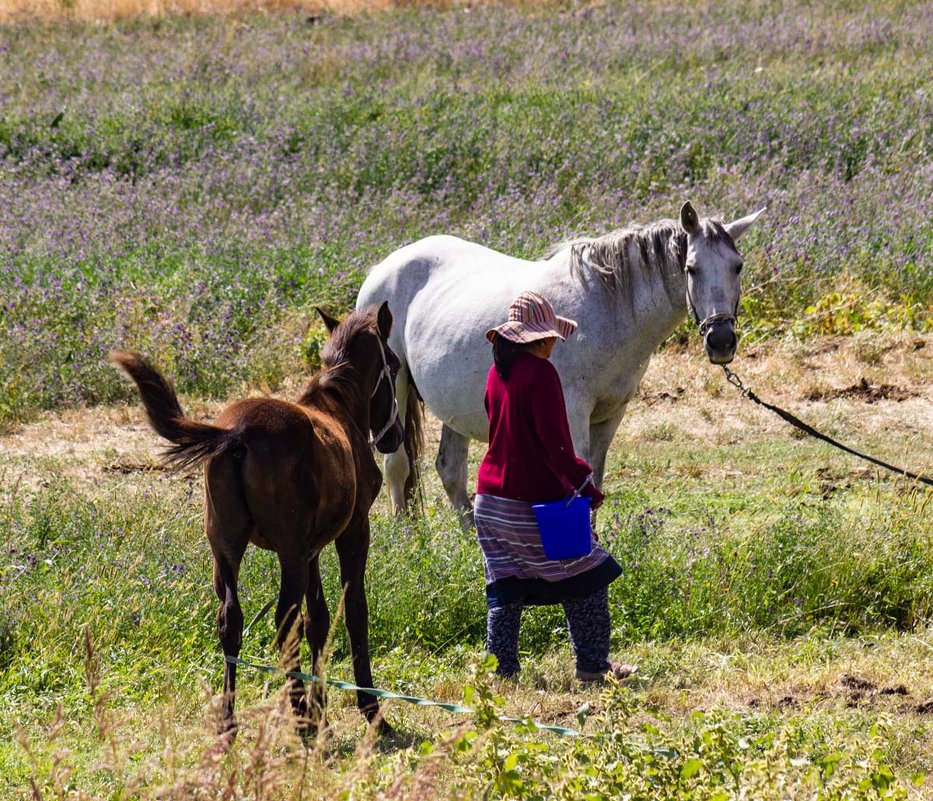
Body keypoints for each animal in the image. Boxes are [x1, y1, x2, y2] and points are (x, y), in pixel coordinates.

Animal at [109, 304, 400, 740]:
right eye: (395, 366)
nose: (393, 438)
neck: (338, 408)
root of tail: (235, 433)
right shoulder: (351, 532)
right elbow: (352, 611)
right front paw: (368, 708)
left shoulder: (312, 547)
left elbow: (318, 619)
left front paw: (323, 710)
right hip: (288, 553)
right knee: (282, 619)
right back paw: (300, 716)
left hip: (225, 548)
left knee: (231, 620)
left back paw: (231, 721)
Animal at [356, 203, 764, 520]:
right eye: (691, 268)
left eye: (738, 266)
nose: (721, 340)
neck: (607, 308)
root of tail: (384, 267)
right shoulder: (572, 413)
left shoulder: (610, 415)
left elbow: (595, 482)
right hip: (397, 387)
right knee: (397, 466)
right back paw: (410, 542)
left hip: (453, 404)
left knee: (450, 470)